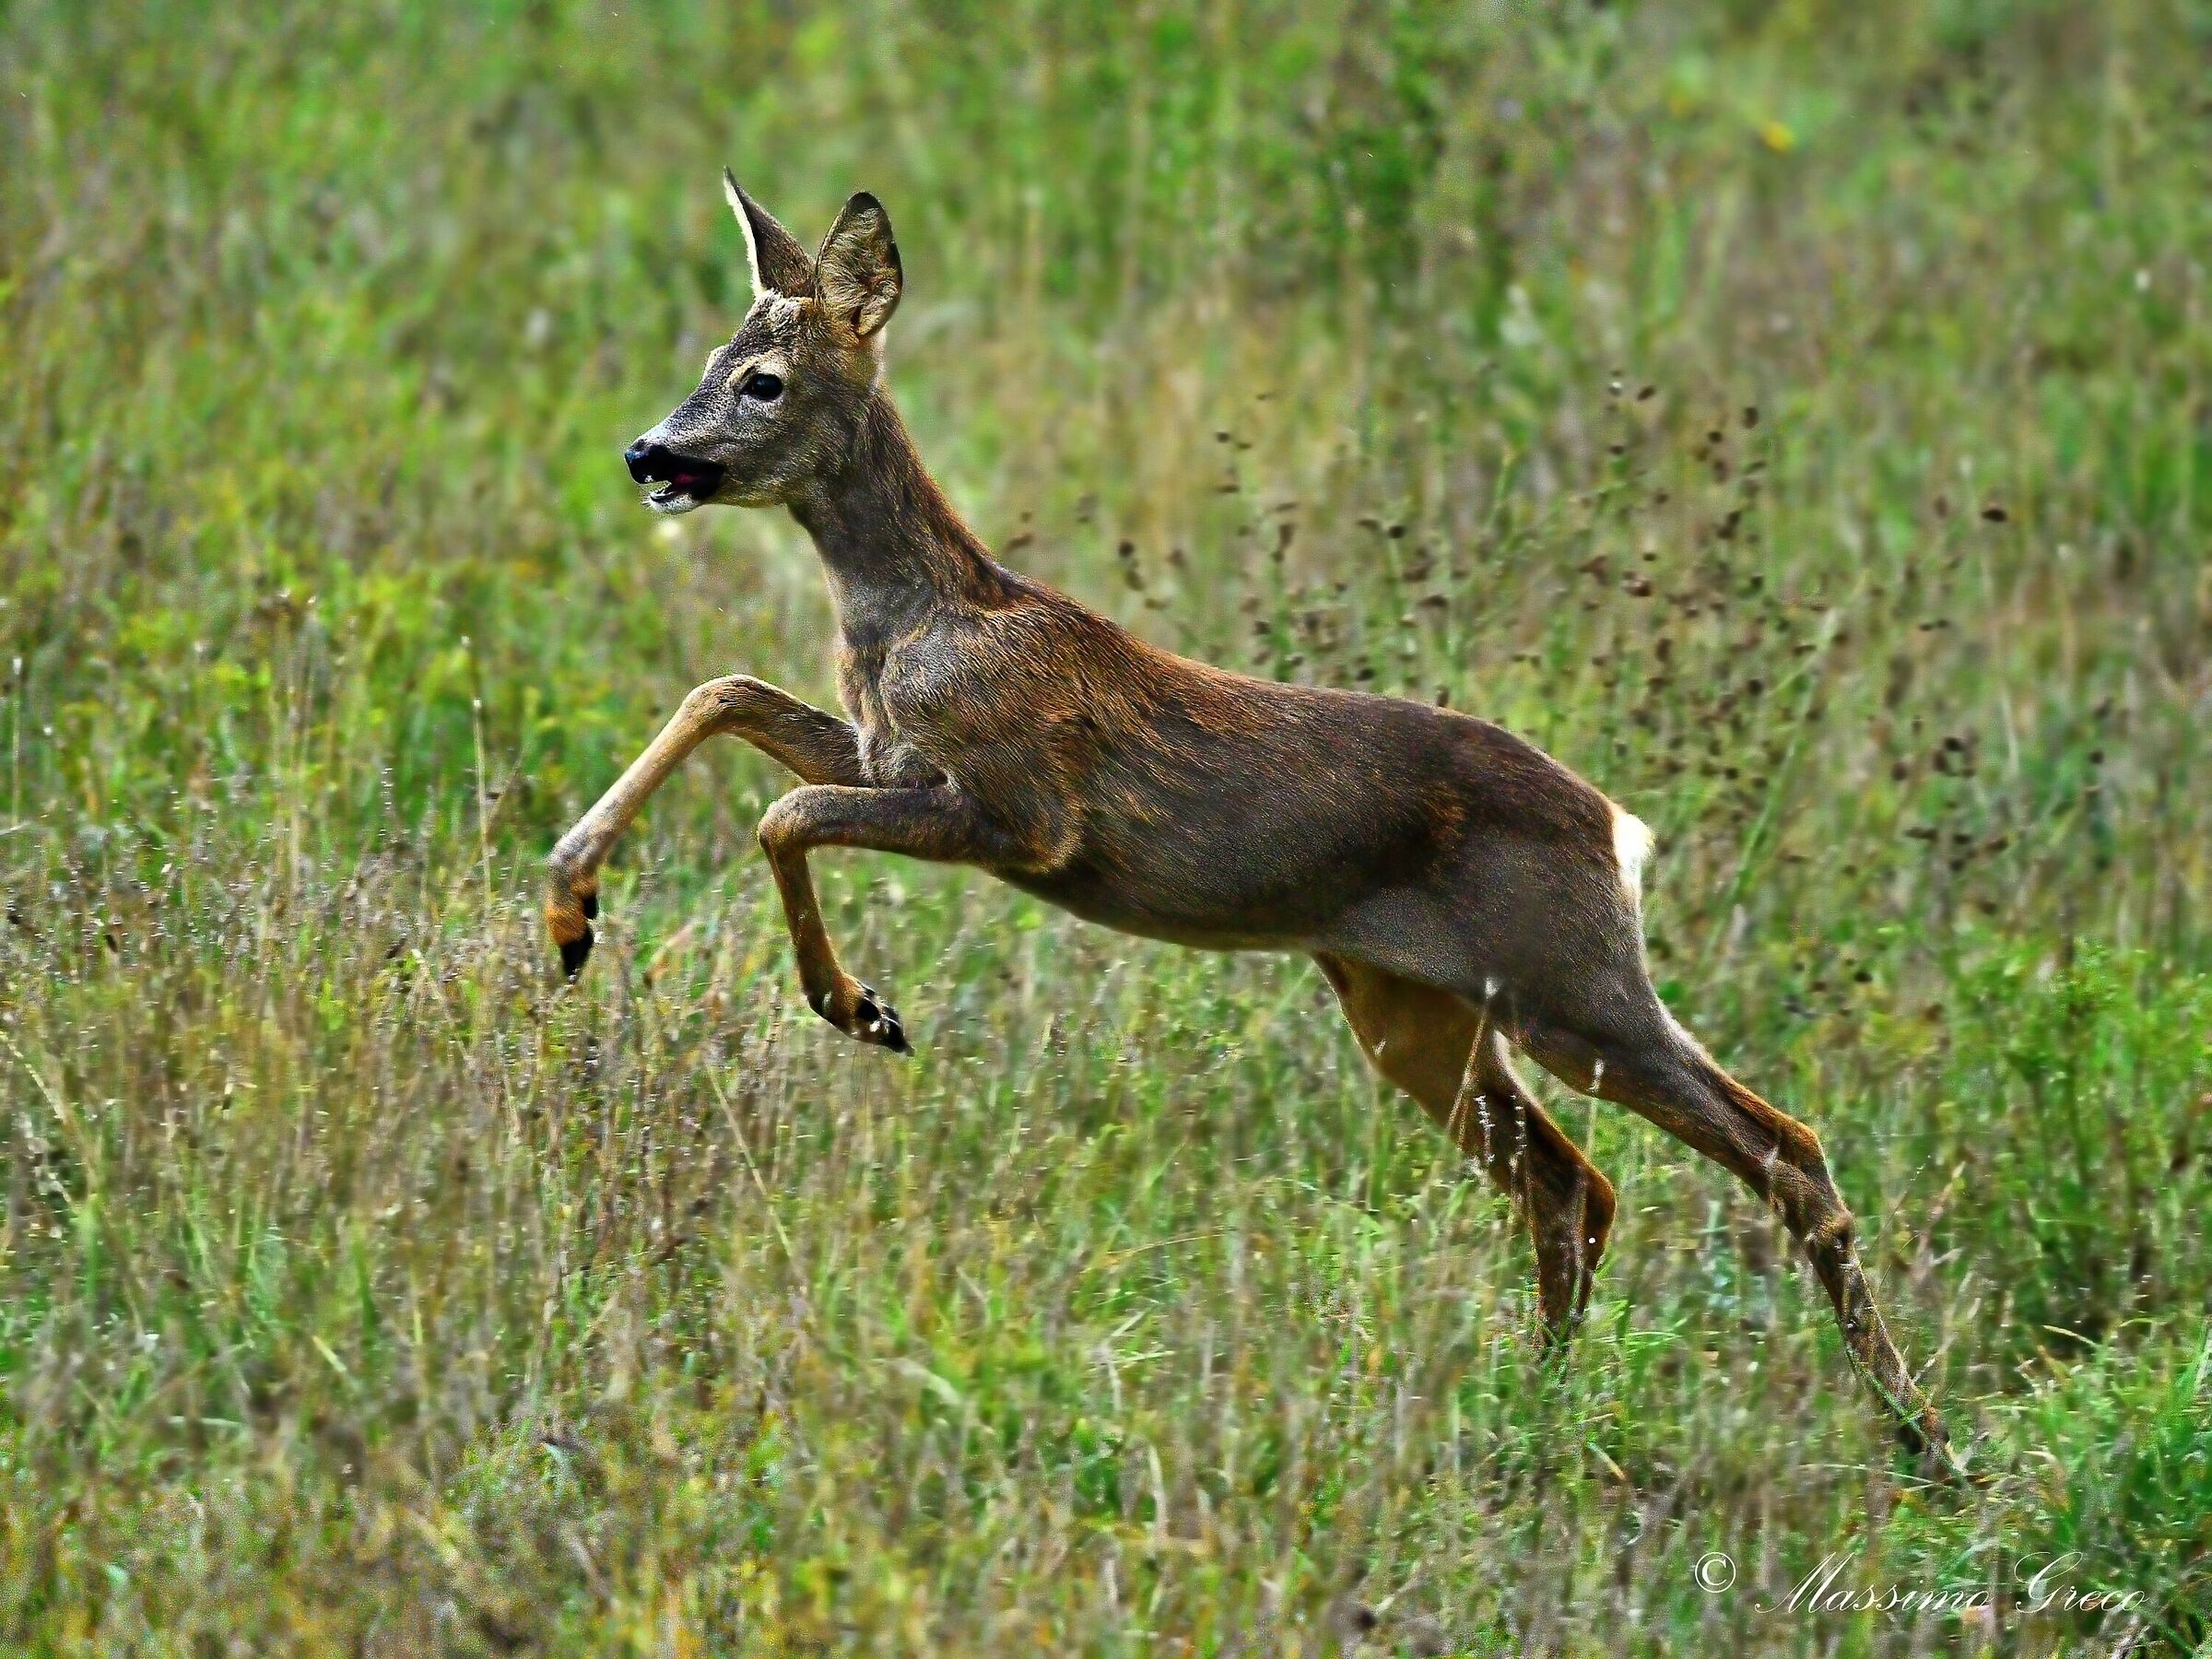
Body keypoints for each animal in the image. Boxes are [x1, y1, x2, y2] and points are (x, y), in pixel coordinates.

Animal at [544, 174, 1955, 1469]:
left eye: (765, 379)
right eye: (708, 361)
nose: (644, 454)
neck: (921, 627)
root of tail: (1619, 828)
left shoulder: (1024, 814)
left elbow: (784, 811)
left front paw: (858, 1008)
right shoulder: (895, 758)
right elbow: (726, 695)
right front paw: (569, 912)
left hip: (1570, 982)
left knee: (1782, 1148)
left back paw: (1921, 1438)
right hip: (1415, 1012)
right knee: (1575, 1186)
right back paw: (1541, 1411)